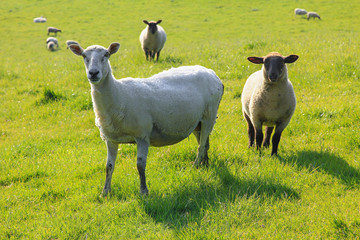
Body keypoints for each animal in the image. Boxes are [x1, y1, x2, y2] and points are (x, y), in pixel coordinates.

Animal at [69, 41, 224, 195]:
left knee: (202, 145)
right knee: (204, 143)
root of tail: (212, 73)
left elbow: (140, 165)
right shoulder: (111, 139)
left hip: (209, 116)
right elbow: (109, 166)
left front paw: (144, 191)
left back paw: (195, 166)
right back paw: (205, 165)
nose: (93, 73)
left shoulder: (142, 136)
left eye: (106, 55)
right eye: (84, 56)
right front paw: (105, 192)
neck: (119, 93)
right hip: (197, 121)